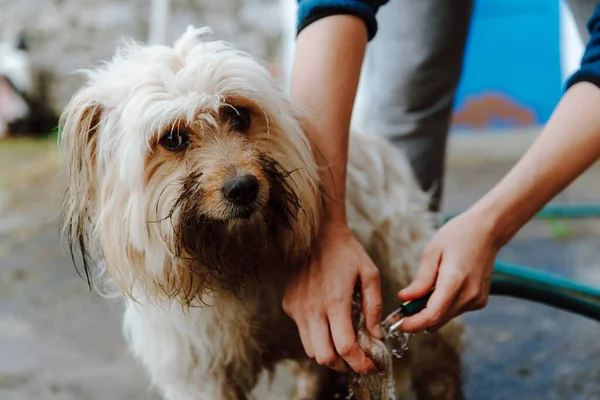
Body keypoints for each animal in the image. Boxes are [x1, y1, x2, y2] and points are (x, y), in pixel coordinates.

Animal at [59, 26, 464, 398]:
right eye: (172, 139)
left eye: (238, 115)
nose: (243, 188)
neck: (239, 259)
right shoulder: (199, 371)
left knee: (439, 359)